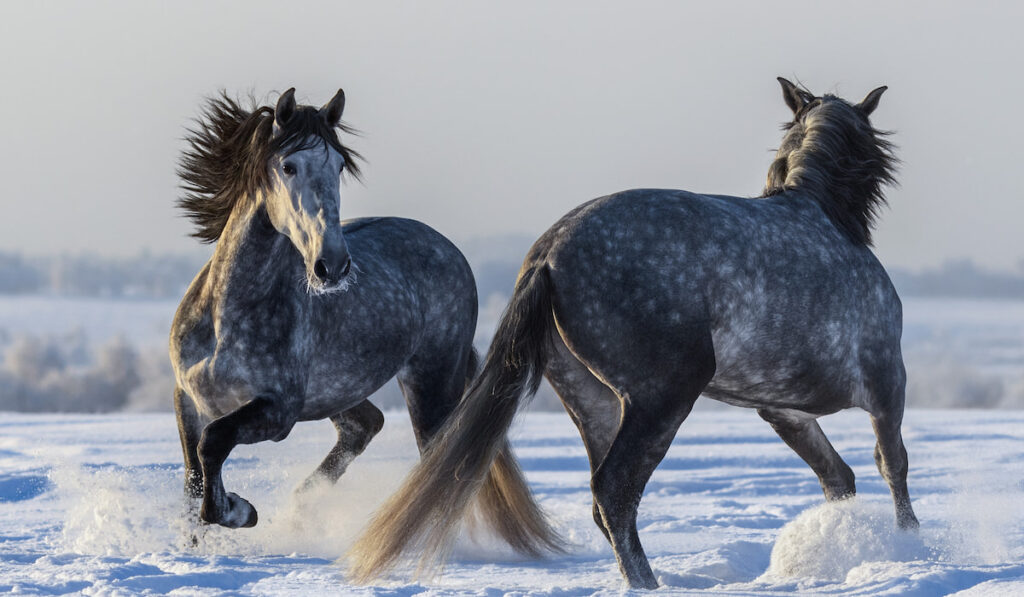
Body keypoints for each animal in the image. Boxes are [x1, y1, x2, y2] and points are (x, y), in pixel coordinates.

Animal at [169, 87, 536, 536]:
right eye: (288, 165)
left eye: (340, 166)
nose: (333, 265)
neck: (226, 319)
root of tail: (449, 249)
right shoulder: (188, 399)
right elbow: (194, 483)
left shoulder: (279, 410)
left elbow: (215, 445)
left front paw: (242, 510)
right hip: (340, 393)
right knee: (365, 425)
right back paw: (302, 507)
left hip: (430, 384)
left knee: (437, 465)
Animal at [352, 79, 921, 589]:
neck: (828, 222)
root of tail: (550, 253)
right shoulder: (885, 383)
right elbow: (890, 464)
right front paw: (910, 546)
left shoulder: (785, 411)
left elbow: (838, 477)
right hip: (662, 397)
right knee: (615, 490)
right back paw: (647, 582)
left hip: (595, 401)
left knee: (605, 500)